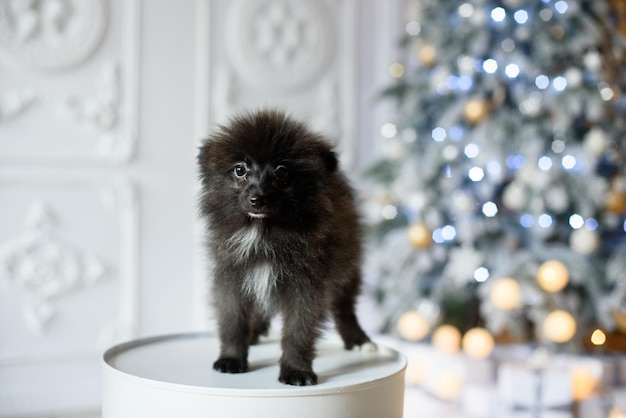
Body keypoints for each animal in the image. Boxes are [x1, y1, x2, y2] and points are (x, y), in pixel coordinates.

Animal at [196, 108, 370, 386]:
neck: (262, 232)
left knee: (344, 306)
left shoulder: (306, 285)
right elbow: (232, 320)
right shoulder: (232, 275)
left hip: (348, 264)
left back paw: (358, 339)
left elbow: (299, 331)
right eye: (240, 169)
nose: (257, 199)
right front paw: (231, 358)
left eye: (281, 172)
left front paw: (296, 370)